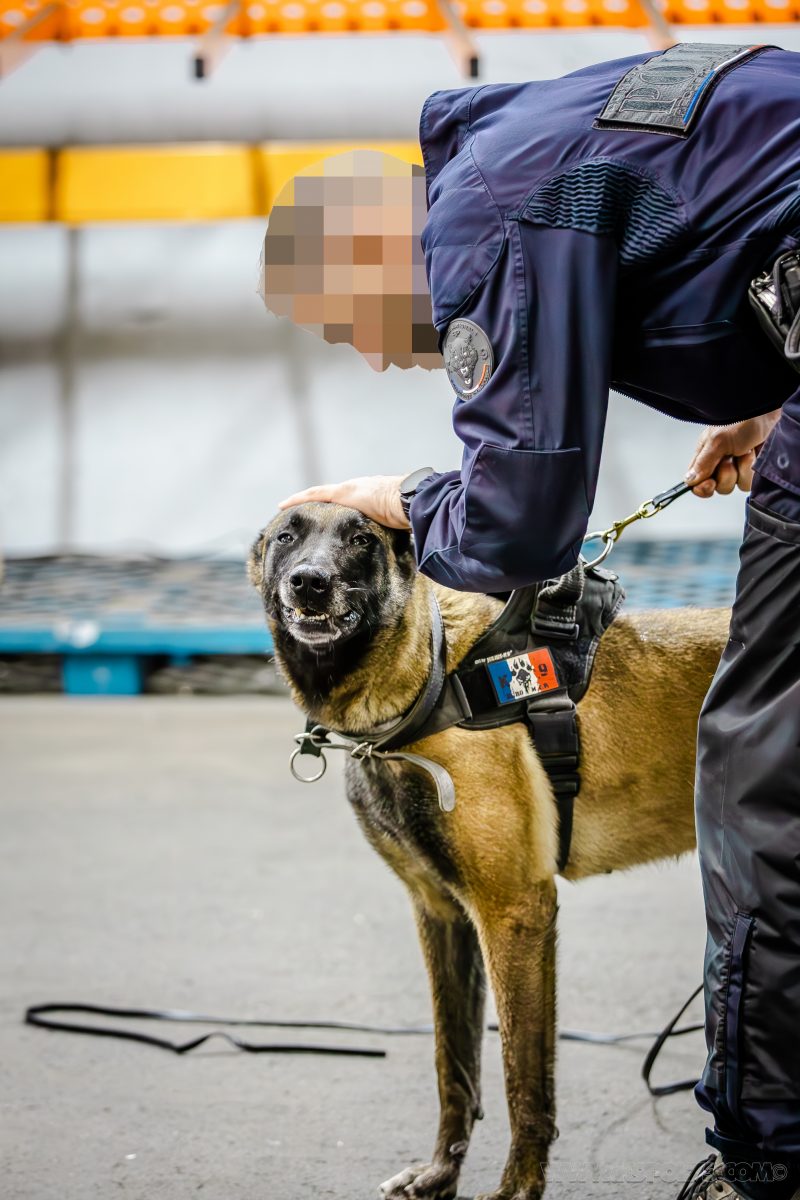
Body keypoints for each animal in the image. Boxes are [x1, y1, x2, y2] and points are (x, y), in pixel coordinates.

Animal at [248, 501, 729, 1200]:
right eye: (288, 535)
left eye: (361, 538)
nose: (309, 582)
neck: (428, 679)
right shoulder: (442, 914)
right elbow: (454, 1062)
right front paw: (441, 1170)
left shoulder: (514, 913)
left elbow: (520, 1078)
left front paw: (517, 1188)